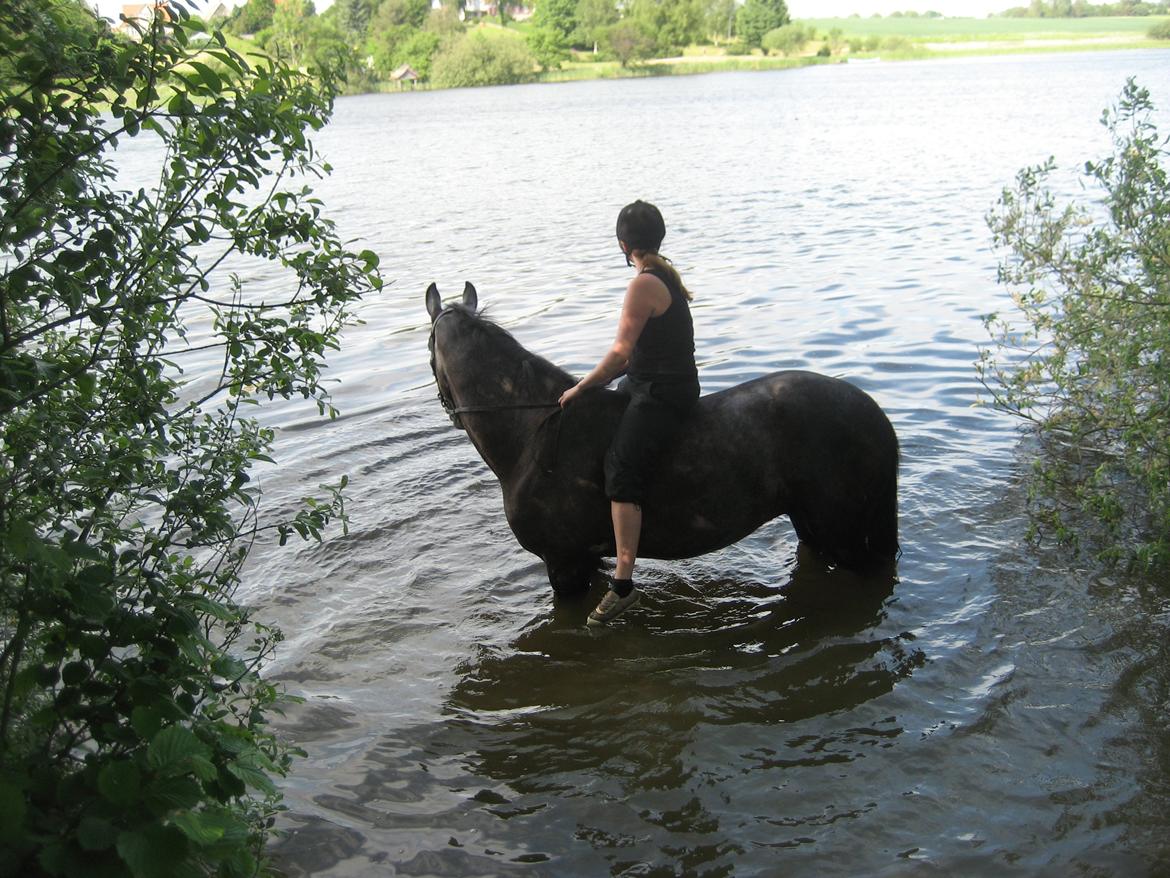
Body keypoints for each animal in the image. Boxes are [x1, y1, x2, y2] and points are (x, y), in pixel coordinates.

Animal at [428, 283, 893, 599]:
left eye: (430, 352)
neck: (533, 435)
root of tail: (873, 412)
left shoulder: (564, 565)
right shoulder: (585, 560)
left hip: (845, 535)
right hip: (813, 526)